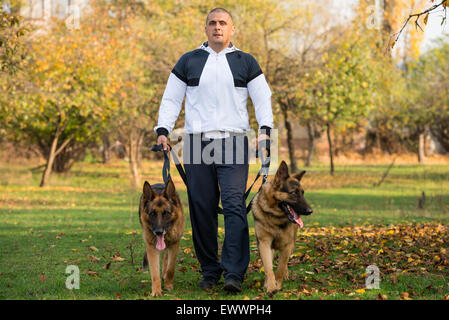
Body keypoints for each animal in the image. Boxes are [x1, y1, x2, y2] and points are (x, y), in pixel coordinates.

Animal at [252, 161, 312, 294]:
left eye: (303, 193)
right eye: (294, 193)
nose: (310, 211)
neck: (275, 217)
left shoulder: (286, 245)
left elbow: (280, 268)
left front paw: (278, 285)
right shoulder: (264, 243)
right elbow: (268, 267)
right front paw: (270, 286)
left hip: (291, 244)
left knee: (284, 264)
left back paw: (285, 274)